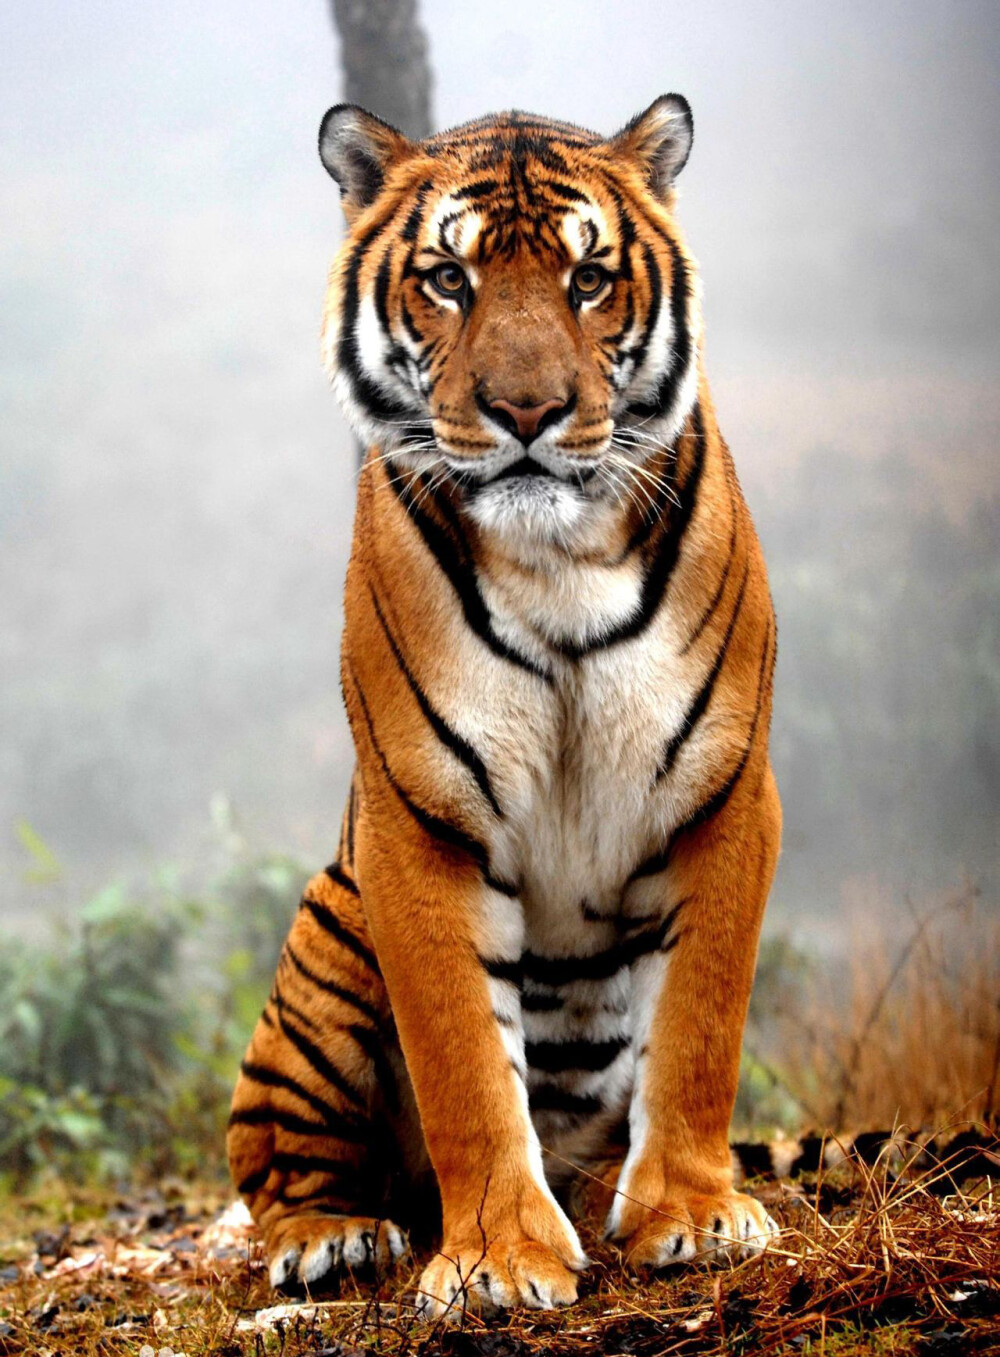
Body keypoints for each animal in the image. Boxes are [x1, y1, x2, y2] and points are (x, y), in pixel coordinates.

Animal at [227, 93, 783, 1319]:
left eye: (588, 279)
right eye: (449, 278)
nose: (526, 410)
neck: (557, 559)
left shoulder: (726, 790)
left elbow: (699, 1026)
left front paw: (693, 1215)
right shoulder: (417, 822)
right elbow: (467, 1065)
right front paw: (495, 1258)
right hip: (322, 952)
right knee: (272, 1161)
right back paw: (333, 1237)